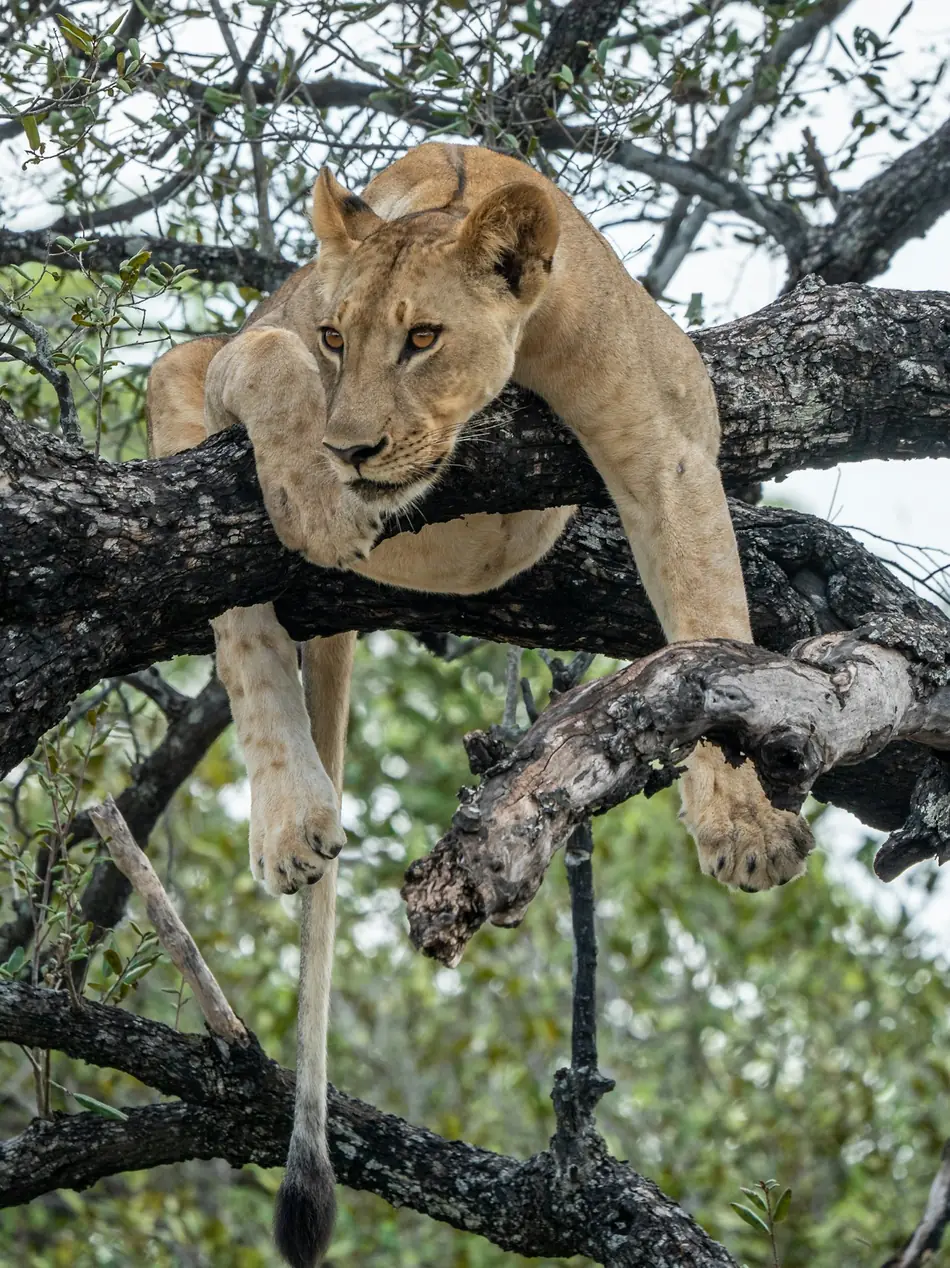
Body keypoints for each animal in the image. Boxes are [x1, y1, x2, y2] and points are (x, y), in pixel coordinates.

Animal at [147, 141, 813, 1267]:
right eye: (337, 335)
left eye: (422, 337)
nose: (350, 449)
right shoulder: (243, 354)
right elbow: (269, 359)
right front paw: (316, 498)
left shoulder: (665, 444)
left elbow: (713, 628)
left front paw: (746, 822)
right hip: (180, 390)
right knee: (242, 628)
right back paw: (292, 818)